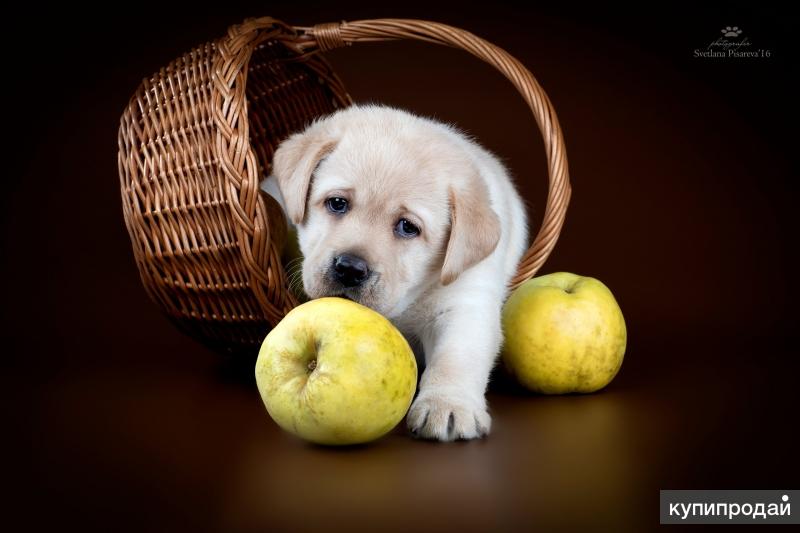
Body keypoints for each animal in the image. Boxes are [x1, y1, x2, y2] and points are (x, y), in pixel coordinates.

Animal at [260, 104, 528, 440]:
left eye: (408, 227)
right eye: (337, 203)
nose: (349, 269)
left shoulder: (466, 303)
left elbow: (455, 358)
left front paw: (447, 404)